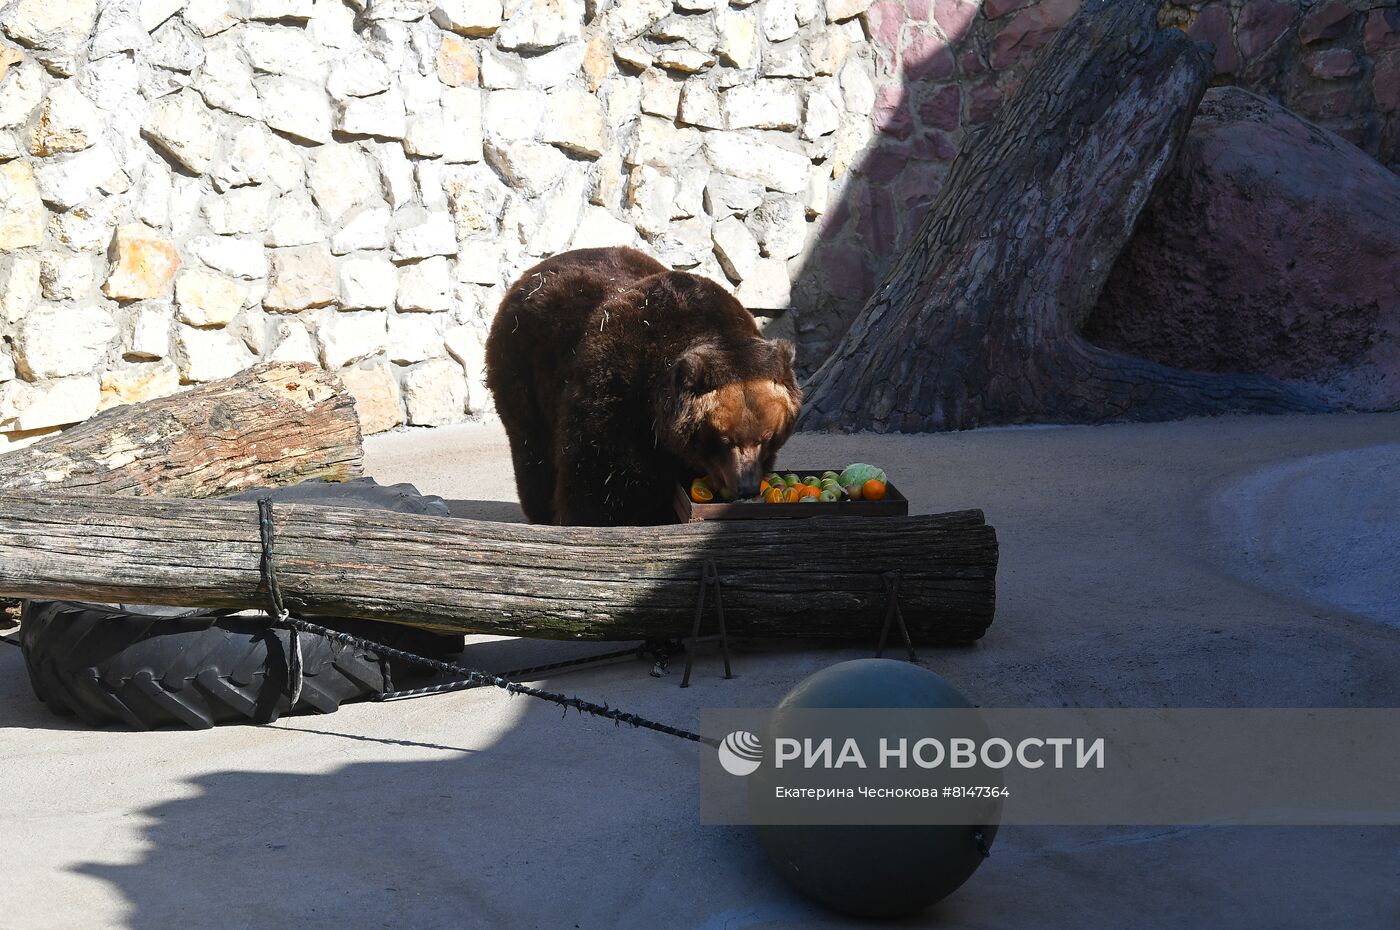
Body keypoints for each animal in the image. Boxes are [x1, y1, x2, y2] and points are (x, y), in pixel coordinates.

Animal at [490, 246, 806, 523]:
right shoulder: (619, 390)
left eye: (767, 437)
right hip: (524, 363)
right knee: (532, 443)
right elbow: (603, 475)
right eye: (724, 440)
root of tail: (531, 274)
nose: (746, 486)